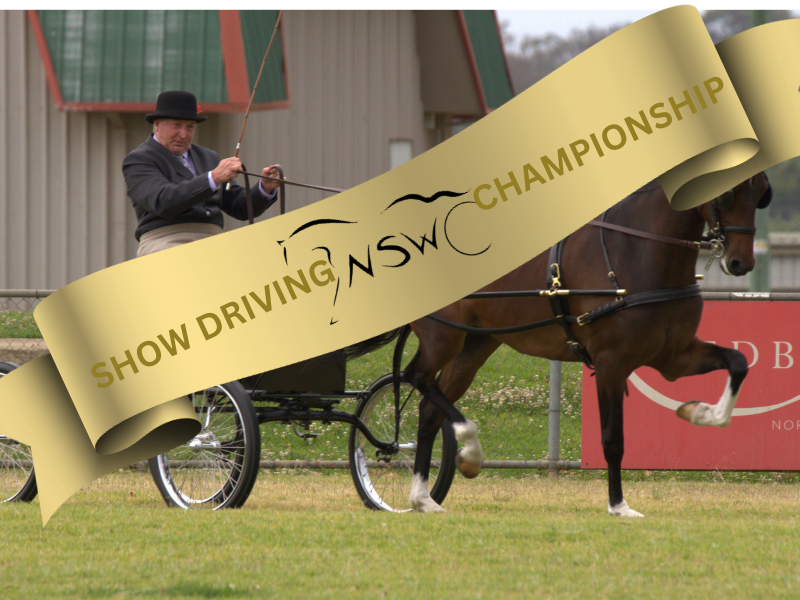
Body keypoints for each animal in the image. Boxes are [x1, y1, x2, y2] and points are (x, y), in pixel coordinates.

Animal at [404, 172, 772, 516]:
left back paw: (424, 498)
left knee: (429, 412)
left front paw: (701, 412)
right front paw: (618, 505)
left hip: (474, 345)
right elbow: (612, 439)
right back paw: (467, 451)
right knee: (416, 378)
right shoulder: (611, 361)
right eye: (726, 194)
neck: (638, 254)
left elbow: (738, 362)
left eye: (761, 194)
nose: (741, 263)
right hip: (442, 338)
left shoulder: (674, 357)